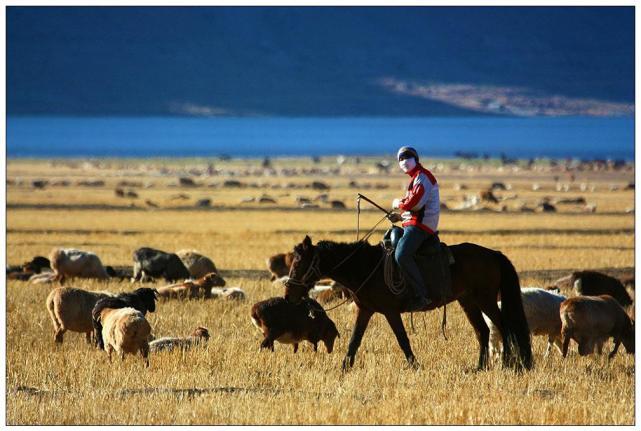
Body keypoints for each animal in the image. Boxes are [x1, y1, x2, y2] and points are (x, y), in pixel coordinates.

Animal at [284, 235, 528, 372]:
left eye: (299, 263)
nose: (288, 295)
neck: (366, 267)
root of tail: (493, 254)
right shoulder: (366, 310)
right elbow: (355, 340)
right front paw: (344, 367)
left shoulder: (390, 311)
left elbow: (402, 339)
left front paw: (414, 365)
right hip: (467, 300)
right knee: (482, 330)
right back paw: (480, 367)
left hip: (485, 299)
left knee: (503, 326)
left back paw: (506, 363)